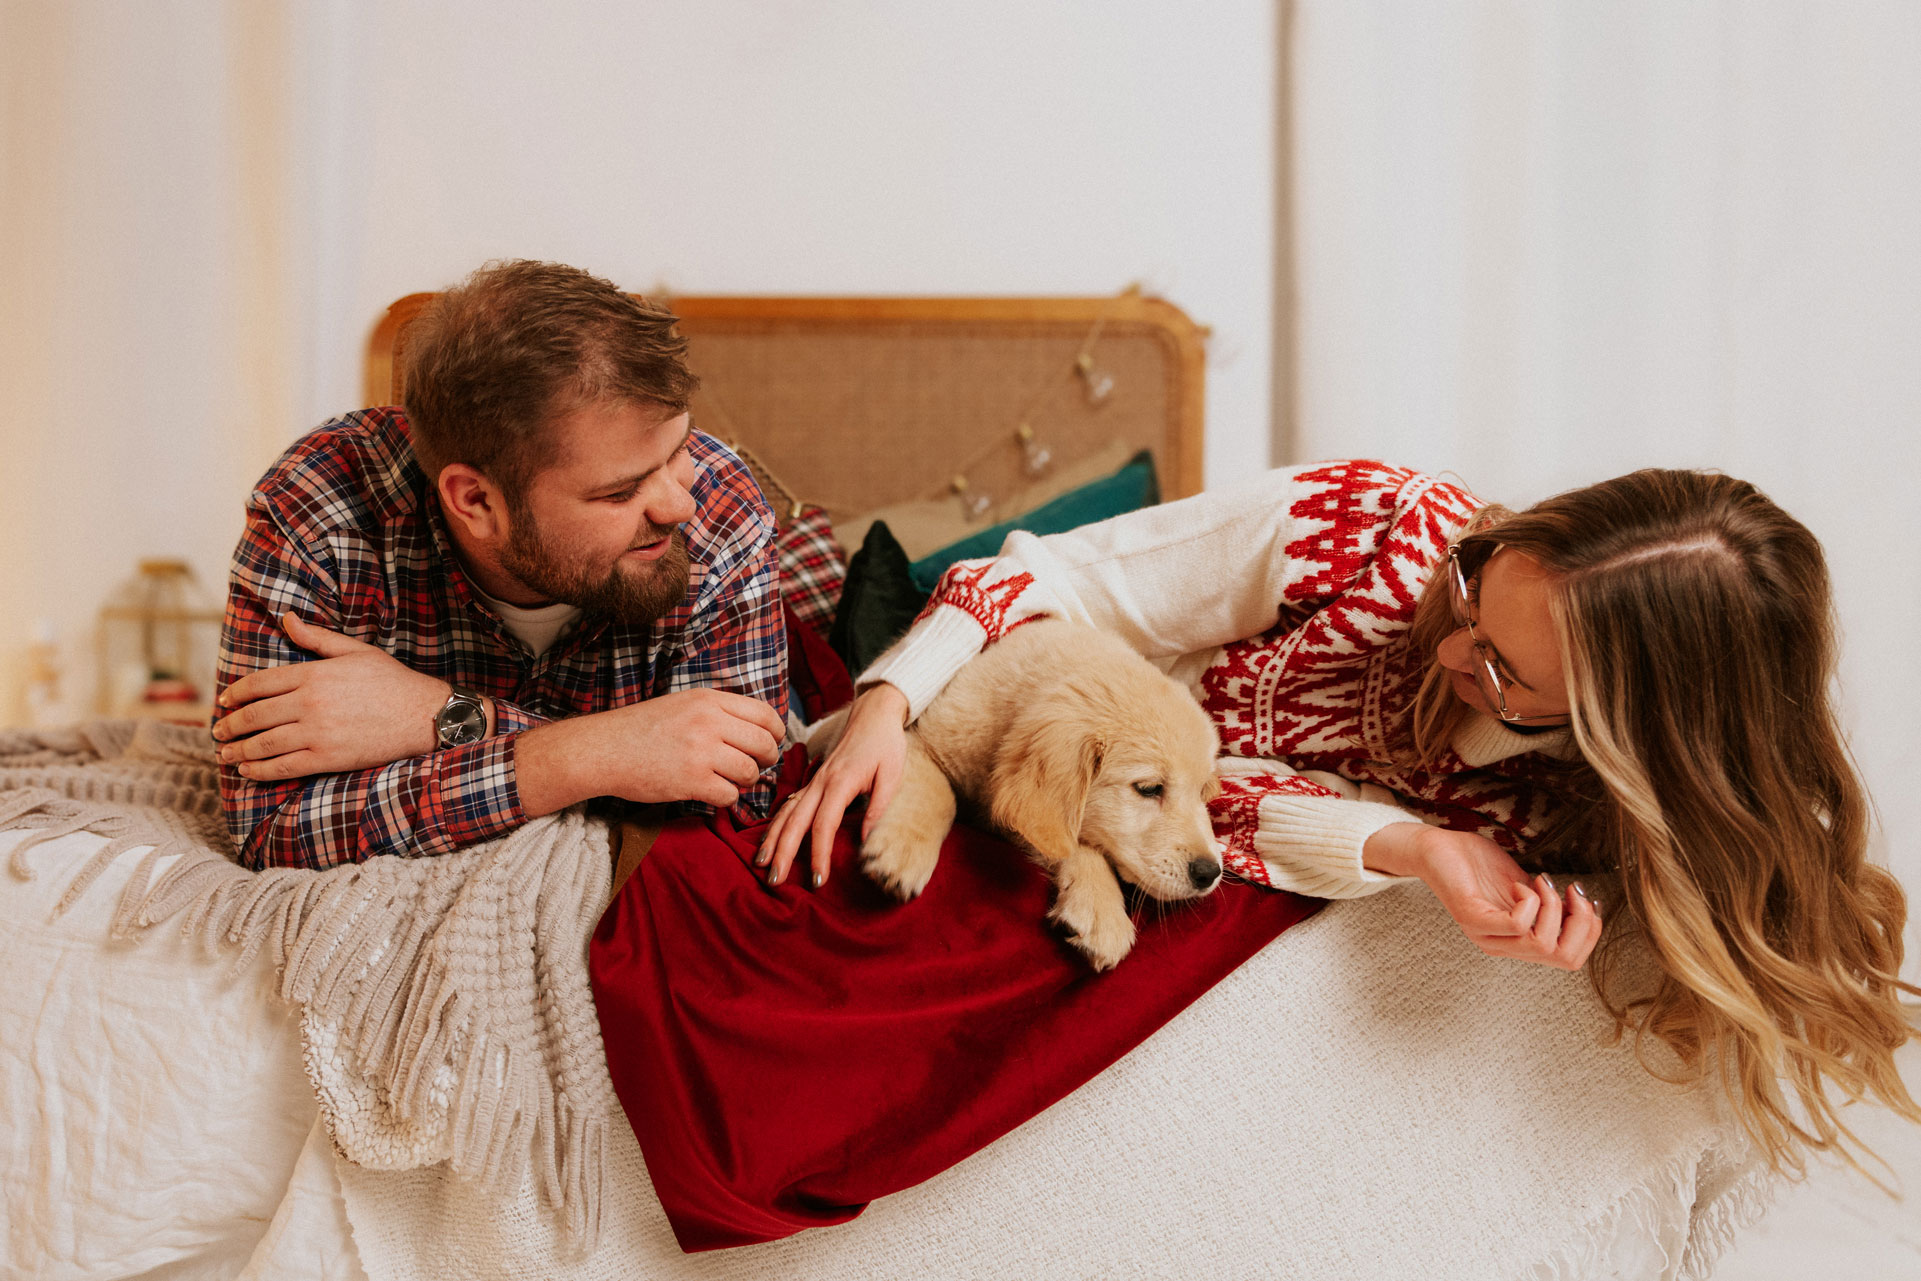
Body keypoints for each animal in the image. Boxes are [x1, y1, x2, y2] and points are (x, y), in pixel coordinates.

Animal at [802, 622, 1221, 971]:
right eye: (1149, 789)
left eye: (1202, 791)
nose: (1210, 873)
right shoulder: (908, 739)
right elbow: (939, 791)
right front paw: (902, 851)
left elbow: (1074, 842)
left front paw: (1098, 907)